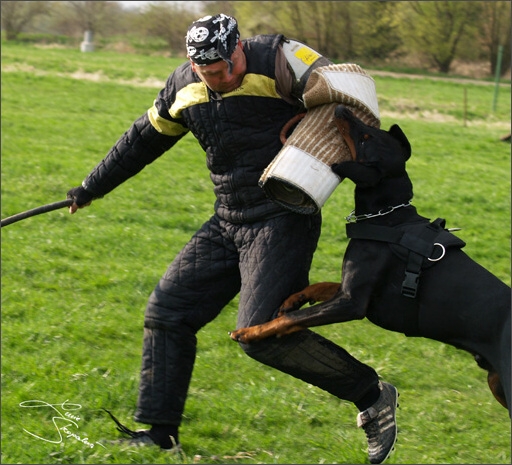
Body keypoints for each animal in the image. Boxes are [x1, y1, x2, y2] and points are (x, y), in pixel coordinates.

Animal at [230, 106, 510, 414]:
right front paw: (293, 298)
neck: (388, 217)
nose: (341, 109)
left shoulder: (352, 304)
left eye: (365, 138)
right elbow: (318, 287)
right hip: (496, 383)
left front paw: (250, 332)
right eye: (372, 132)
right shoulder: (351, 289)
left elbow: (290, 320)